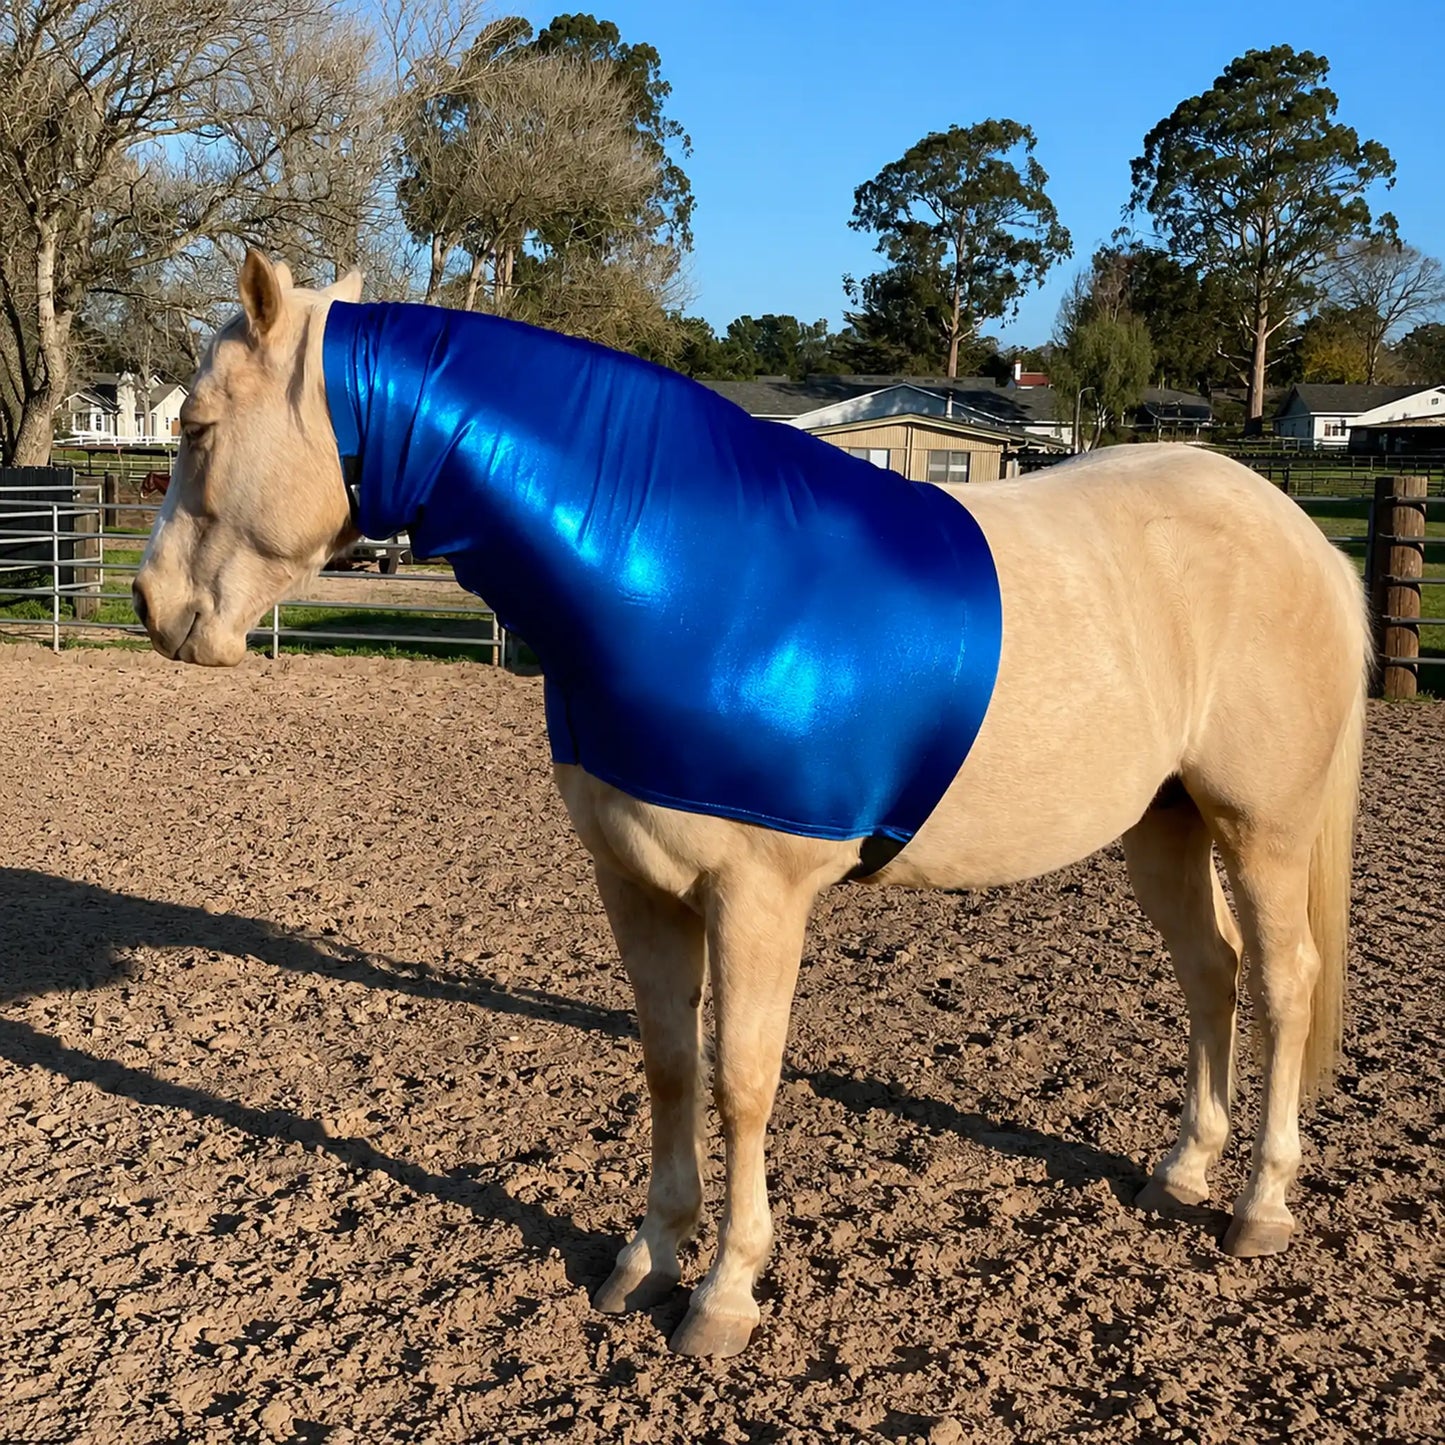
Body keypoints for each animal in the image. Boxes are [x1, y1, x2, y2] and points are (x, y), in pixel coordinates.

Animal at [132, 252, 1369, 1359]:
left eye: (196, 429)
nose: (152, 607)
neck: (672, 567)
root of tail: (1301, 538)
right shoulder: (634, 885)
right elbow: (668, 1063)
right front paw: (645, 1258)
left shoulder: (757, 898)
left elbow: (740, 1081)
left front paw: (723, 1294)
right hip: (1163, 823)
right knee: (1209, 972)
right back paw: (1180, 1168)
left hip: (1261, 828)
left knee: (1279, 980)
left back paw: (1257, 1202)